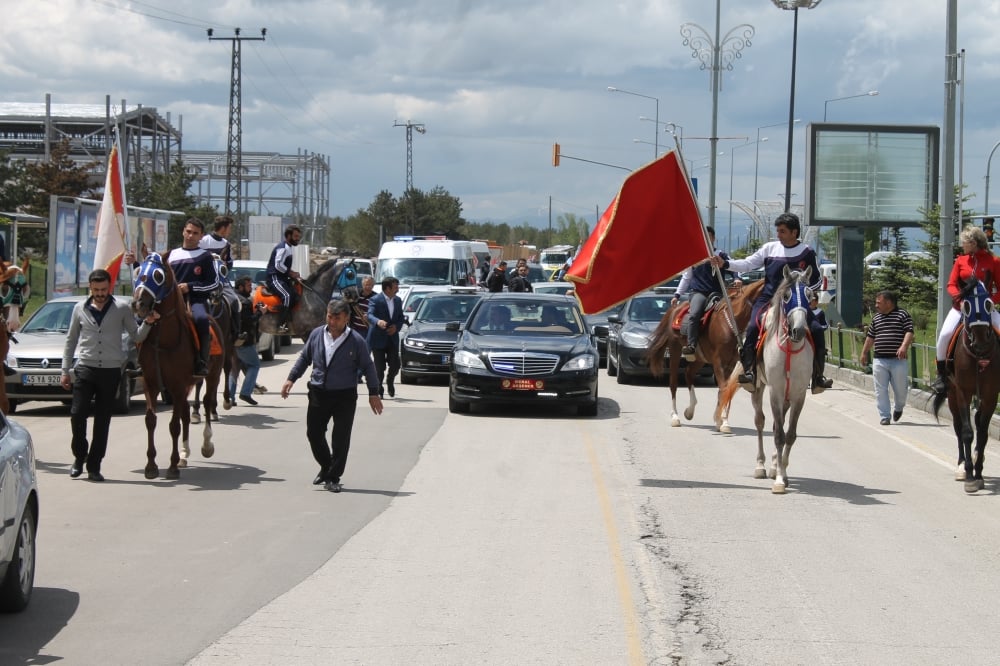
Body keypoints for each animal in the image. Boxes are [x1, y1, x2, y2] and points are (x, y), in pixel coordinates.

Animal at [131, 250, 225, 478]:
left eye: (158, 275)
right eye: (138, 272)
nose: (138, 304)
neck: (162, 339)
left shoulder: (178, 384)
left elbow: (174, 425)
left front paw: (172, 467)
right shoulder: (151, 384)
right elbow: (151, 420)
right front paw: (151, 466)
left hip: (212, 375)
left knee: (207, 402)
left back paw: (206, 446)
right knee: (185, 413)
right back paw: (184, 453)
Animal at [648, 278, 764, 430]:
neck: (731, 323)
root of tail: (674, 308)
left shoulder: (731, 364)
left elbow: (724, 391)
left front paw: (721, 421)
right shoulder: (719, 362)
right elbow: (724, 388)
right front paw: (722, 421)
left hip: (700, 358)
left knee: (688, 373)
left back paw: (689, 411)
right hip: (675, 350)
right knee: (673, 383)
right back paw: (675, 417)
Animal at [724, 266, 816, 492]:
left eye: (810, 295)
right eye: (786, 295)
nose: (799, 330)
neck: (790, 347)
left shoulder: (798, 395)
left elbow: (789, 434)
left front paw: (782, 472)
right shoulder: (775, 391)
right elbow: (778, 435)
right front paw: (780, 481)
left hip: (787, 397)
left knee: (776, 425)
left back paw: (774, 465)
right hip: (758, 388)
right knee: (760, 422)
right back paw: (760, 466)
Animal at [928, 274, 1000, 492]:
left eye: (989, 303)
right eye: (966, 306)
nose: (981, 343)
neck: (979, 356)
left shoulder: (991, 394)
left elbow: (983, 433)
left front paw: (979, 473)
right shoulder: (963, 392)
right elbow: (967, 432)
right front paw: (969, 475)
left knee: (976, 422)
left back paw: (977, 458)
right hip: (952, 394)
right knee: (959, 427)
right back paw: (961, 466)